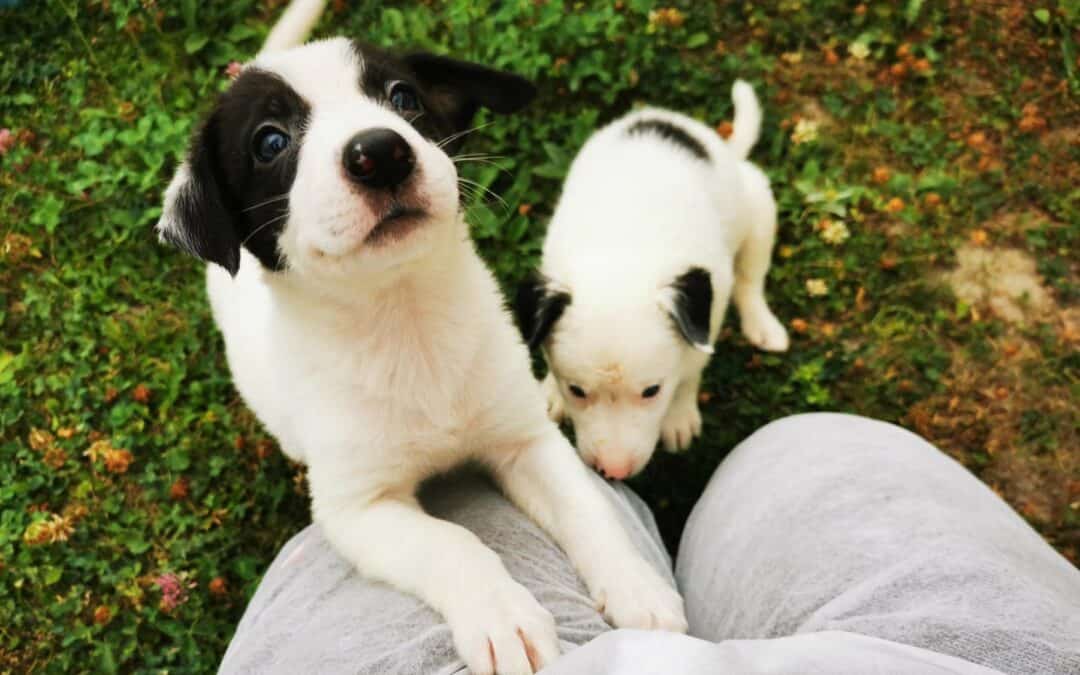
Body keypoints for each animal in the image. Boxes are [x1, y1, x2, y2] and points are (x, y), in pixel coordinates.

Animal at [154, 2, 682, 669]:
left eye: (402, 96)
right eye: (270, 141)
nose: (380, 152)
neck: (405, 322)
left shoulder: (525, 438)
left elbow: (588, 509)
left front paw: (638, 587)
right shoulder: (359, 509)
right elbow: (449, 541)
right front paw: (504, 616)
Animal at [518, 84, 790, 481]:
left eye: (652, 391)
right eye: (577, 390)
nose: (613, 471)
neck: (622, 256)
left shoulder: (707, 312)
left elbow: (691, 369)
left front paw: (679, 415)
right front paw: (551, 392)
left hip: (758, 205)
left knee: (751, 276)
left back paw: (762, 324)